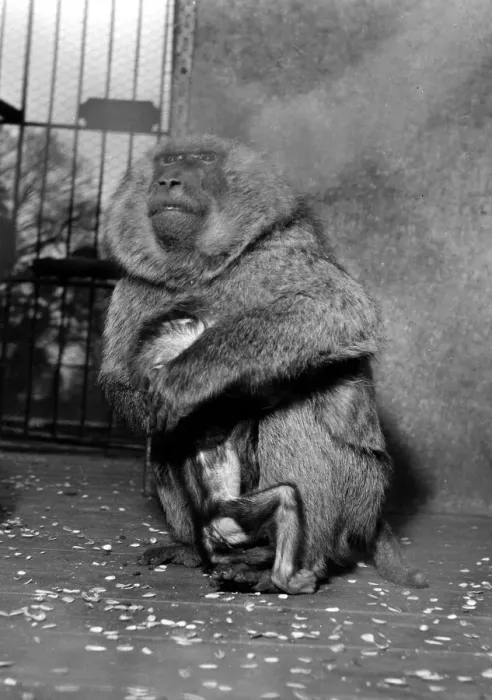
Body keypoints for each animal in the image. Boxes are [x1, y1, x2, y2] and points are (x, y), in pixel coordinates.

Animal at [98, 134, 428, 593]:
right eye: (168, 160)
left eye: (201, 159)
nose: (167, 180)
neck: (199, 273)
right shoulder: (133, 287)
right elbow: (122, 385)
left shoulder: (272, 257)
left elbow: (337, 309)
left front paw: (192, 376)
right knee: (165, 445)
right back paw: (193, 548)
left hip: (361, 492)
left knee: (294, 414)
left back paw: (291, 565)